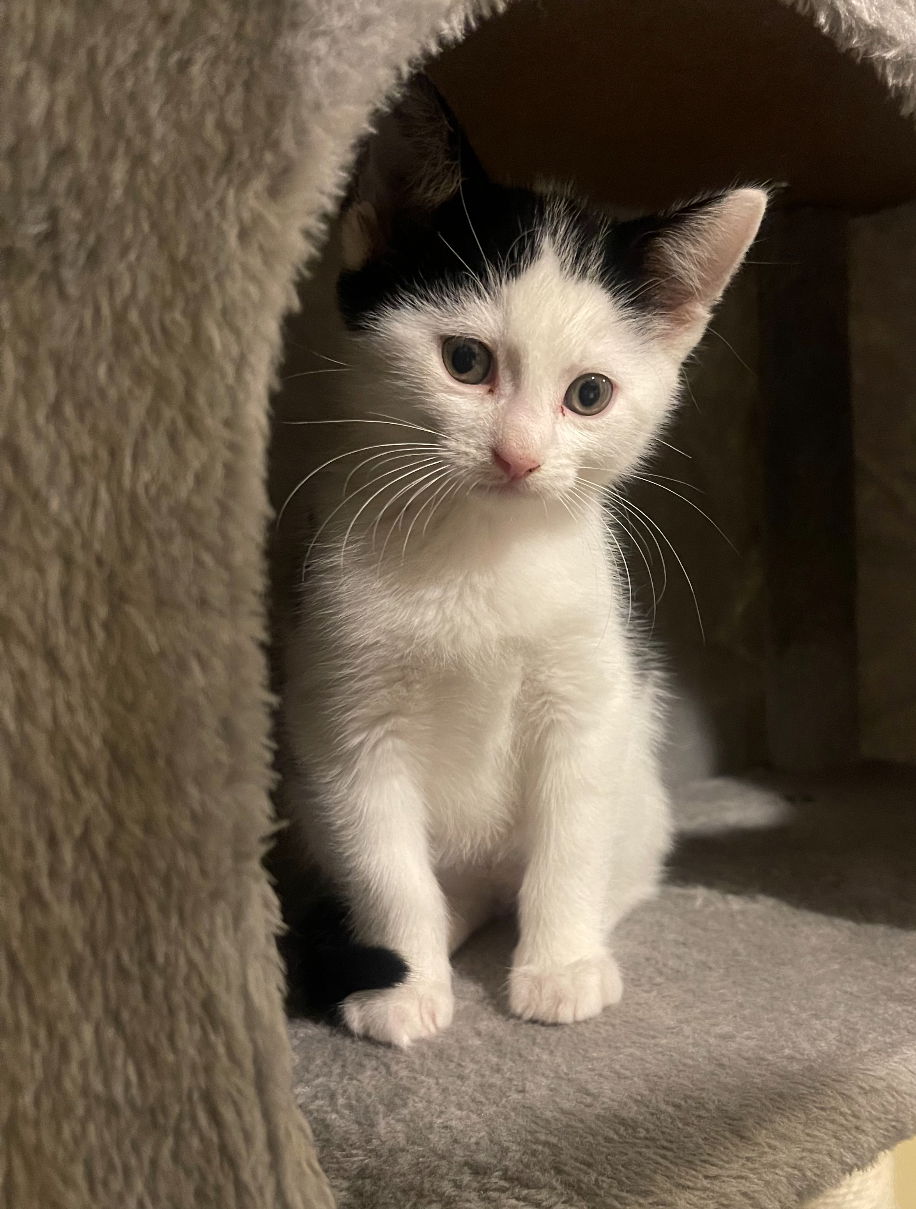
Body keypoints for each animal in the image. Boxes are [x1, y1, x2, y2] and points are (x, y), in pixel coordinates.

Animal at [283, 75, 773, 1044]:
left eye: (589, 394)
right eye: (465, 360)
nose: (517, 455)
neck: (478, 552)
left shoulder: (589, 697)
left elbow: (569, 837)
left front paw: (560, 966)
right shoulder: (344, 720)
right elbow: (386, 863)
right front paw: (403, 982)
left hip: (641, 790)